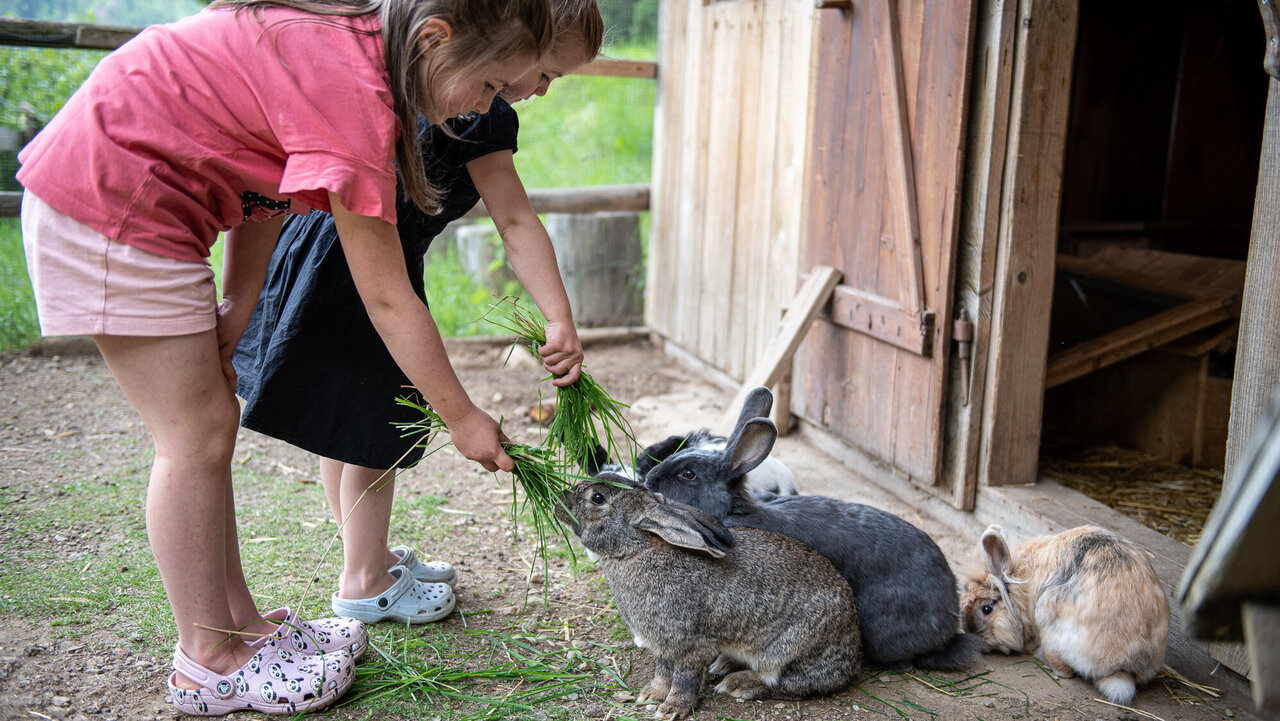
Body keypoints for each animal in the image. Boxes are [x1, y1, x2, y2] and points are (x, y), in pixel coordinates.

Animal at [558, 476, 865, 717]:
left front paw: (672, 709)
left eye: (597, 498)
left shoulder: (688, 643)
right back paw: (725, 664)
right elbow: (662, 671)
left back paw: (739, 684)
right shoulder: (663, 644)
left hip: (789, 650)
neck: (638, 549)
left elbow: (684, 678)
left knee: (794, 684)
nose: (562, 500)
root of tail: (852, 648)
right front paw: (650, 694)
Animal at [962, 525, 1172, 706]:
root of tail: (1124, 666)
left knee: (1065, 671)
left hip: (1051, 632)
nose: (972, 635)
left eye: (986, 609)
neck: (1023, 583)